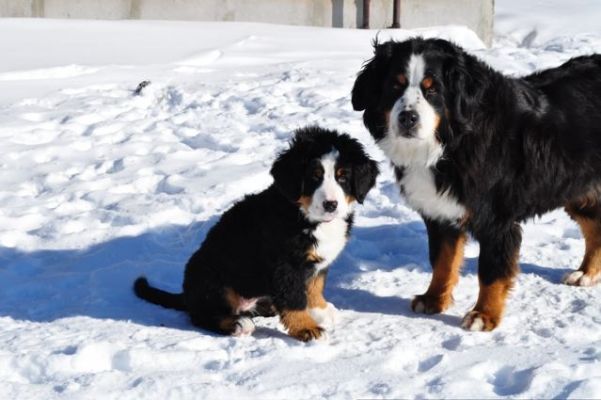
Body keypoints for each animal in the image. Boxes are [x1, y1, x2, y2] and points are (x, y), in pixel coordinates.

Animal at [134, 127, 378, 340]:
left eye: (342, 177)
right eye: (314, 177)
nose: (330, 204)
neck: (305, 215)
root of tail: (187, 294)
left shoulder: (317, 262)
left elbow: (314, 287)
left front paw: (321, 310)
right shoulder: (285, 266)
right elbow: (294, 299)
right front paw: (307, 328)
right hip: (212, 278)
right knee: (202, 315)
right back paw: (237, 323)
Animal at [350, 37, 600, 332]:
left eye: (432, 89)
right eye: (395, 85)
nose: (408, 118)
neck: (449, 144)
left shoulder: (497, 222)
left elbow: (490, 273)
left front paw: (484, 315)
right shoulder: (440, 214)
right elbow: (442, 261)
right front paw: (433, 299)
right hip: (579, 192)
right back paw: (586, 273)